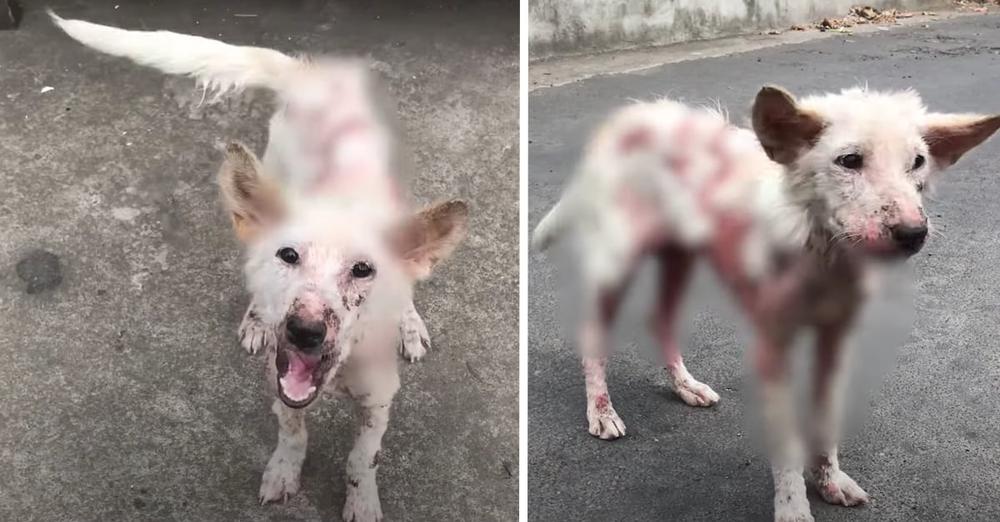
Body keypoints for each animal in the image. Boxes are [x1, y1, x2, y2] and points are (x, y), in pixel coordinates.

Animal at [48, 12, 466, 520]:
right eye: (289, 256)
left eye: (363, 270)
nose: (304, 331)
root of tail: (312, 74)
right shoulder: (280, 378)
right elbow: (292, 430)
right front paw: (283, 470)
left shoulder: (379, 398)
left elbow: (363, 458)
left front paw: (362, 500)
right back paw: (256, 319)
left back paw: (409, 321)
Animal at [536, 83, 996, 516]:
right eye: (849, 160)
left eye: (916, 162)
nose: (913, 234)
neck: (820, 256)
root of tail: (630, 115)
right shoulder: (771, 350)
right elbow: (787, 446)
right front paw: (794, 510)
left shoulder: (836, 343)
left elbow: (825, 423)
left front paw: (830, 482)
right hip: (616, 262)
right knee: (592, 332)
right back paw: (601, 411)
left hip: (682, 255)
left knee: (658, 318)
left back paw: (685, 386)